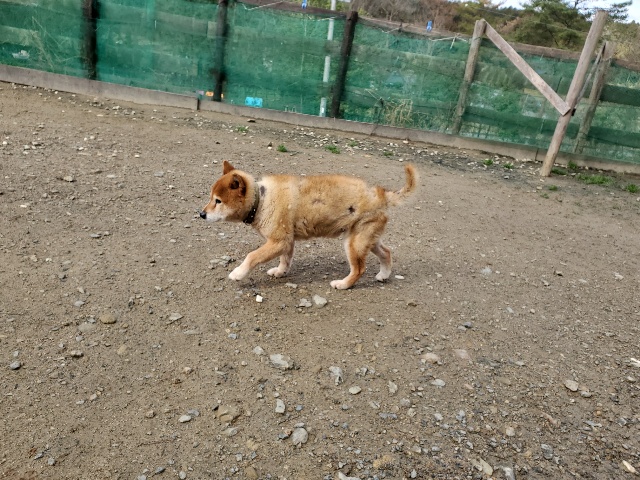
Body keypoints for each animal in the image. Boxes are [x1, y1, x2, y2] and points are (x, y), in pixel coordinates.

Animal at [199, 160, 418, 289]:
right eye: (211, 198)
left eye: (218, 201)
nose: (201, 214)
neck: (261, 200)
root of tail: (380, 194)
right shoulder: (287, 242)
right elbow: (285, 260)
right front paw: (280, 272)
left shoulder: (278, 241)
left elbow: (251, 256)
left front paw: (237, 273)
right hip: (365, 239)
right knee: (386, 252)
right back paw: (384, 274)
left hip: (353, 243)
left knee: (359, 269)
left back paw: (343, 284)